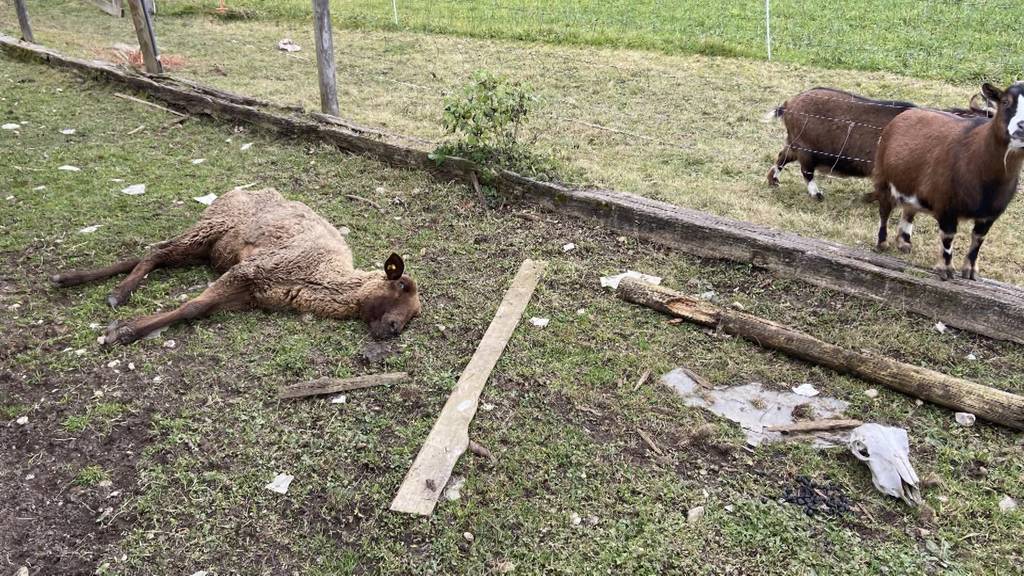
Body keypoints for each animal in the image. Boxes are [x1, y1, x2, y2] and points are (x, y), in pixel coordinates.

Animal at [50, 187, 419, 340]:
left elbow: (198, 309)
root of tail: (240, 190)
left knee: (153, 255)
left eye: (415, 315)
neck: (319, 276)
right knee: (156, 250)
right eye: (401, 285)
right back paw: (117, 294)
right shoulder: (249, 271)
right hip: (210, 227)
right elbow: (192, 307)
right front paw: (124, 331)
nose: (393, 329)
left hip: (209, 247)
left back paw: (72, 279)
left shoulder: (249, 294)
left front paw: (126, 328)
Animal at [770, 87, 991, 199]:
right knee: (806, 171)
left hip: (795, 144)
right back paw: (816, 193)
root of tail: (788, 104)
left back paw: (773, 180)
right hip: (806, 149)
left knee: (782, 157)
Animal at [872, 81, 1024, 278]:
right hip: (882, 177)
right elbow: (948, 238)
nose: (1021, 127)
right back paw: (882, 243)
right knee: (884, 210)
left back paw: (904, 243)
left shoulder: (989, 215)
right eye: (1005, 102)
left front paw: (970, 272)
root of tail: (905, 114)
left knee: (909, 209)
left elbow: (978, 240)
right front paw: (946, 270)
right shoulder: (946, 205)